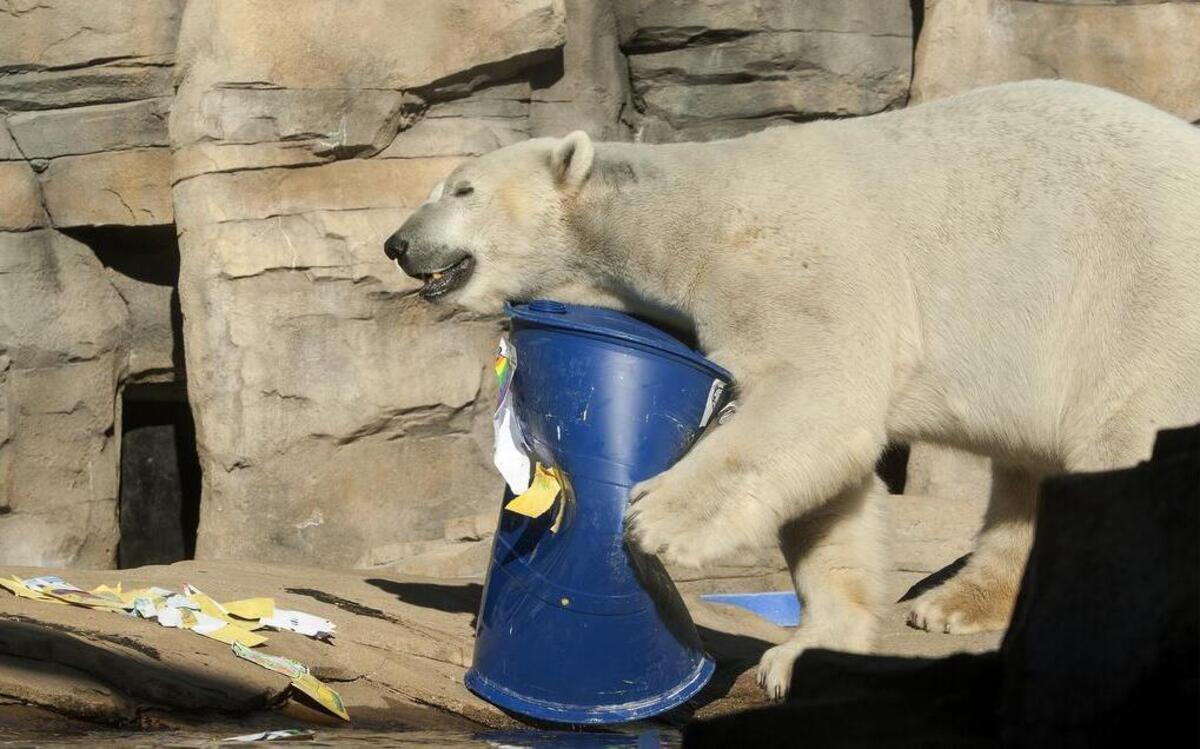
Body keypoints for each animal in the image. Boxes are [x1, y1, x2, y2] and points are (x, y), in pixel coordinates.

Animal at [384, 80, 1200, 698]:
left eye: (462, 188)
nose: (397, 242)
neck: (678, 217)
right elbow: (830, 495)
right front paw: (802, 653)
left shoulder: (787, 258)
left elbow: (818, 395)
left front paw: (655, 520)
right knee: (1030, 473)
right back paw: (951, 604)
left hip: (1144, 302)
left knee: (1118, 449)